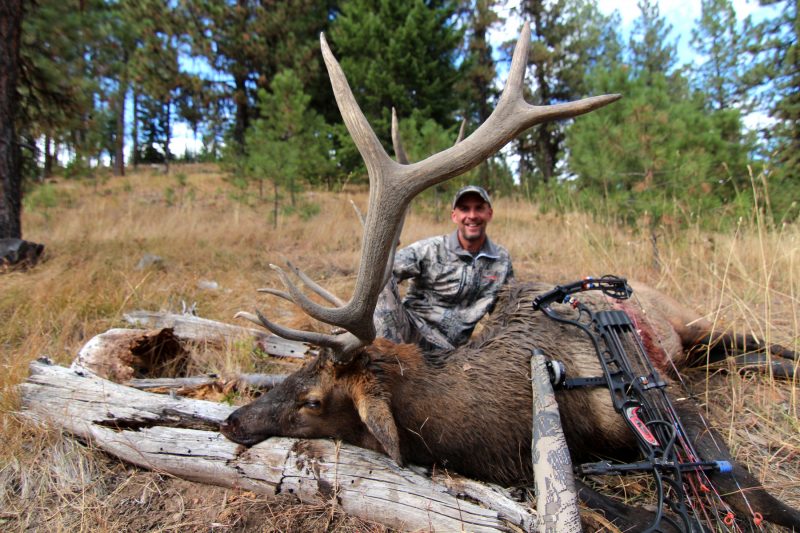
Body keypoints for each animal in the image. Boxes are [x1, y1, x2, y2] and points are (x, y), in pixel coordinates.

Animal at [220, 23, 800, 532]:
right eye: (299, 370)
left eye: (313, 399)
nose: (232, 421)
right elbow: (610, 505)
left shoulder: (667, 403)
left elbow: (755, 494)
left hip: (691, 325)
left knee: (758, 342)